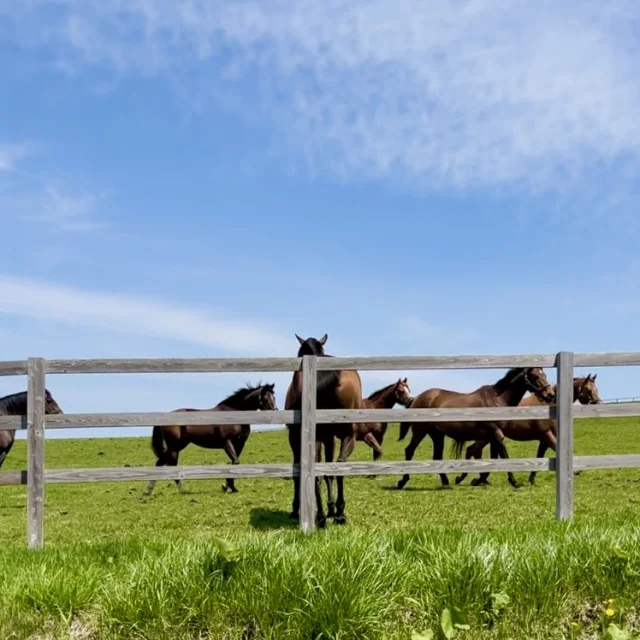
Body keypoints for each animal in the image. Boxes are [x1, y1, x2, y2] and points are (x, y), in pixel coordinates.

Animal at [144, 382, 276, 498]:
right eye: (265, 398)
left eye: (274, 397)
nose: (275, 412)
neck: (233, 415)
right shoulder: (227, 443)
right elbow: (235, 462)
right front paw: (228, 487)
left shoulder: (239, 444)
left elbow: (234, 463)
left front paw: (229, 487)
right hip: (174, 447)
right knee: (165, 464)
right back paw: (177, 491)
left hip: (178, 446)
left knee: (161, 463)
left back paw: (151, 491)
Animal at [284, 332, 360, 528]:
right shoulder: (328, 437)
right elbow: (327, 472)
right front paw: (330, 508)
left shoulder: (298, 438)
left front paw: (296, 509)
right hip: (346, 435)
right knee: (338, 465)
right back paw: (336, 513)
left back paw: (324, 515)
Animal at [396, 364, 556, 490]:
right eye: (535, 376)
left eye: (545, 374)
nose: (550, 394)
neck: (497, 400)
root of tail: (416, 398)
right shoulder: (496, 434)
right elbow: (502, 456)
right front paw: (514, 482)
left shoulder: (492, 436)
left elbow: (490, 458)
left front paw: (471, 479)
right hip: (420, 431)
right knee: (409, 450)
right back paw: (402, 481)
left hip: (437, 435)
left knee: (437, 456)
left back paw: (446, 482)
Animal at [456, 376, 600, 484]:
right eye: (588, 389)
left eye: (596, 389)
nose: (598, 403)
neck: (549, 404)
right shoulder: (547, 436)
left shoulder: (544, 439)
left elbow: (540, 456)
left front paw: (531, 479)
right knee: (473, 450)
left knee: (473, 449)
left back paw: (475, 478)